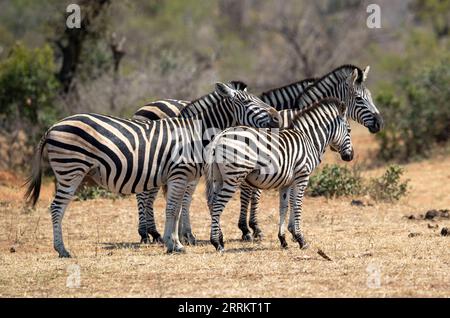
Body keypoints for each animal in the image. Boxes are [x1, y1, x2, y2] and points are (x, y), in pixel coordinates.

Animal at [25, 83, 282, 258]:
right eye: (248, 103)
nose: (278, 117)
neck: (197, 133)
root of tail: (52, 127)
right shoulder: (179, 174)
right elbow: (172, 210)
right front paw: (174, 244)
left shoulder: (183, 177)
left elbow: (177, 210)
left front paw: (174, 242)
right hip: (71, 170)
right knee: (57, 207)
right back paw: (62, 250)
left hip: (68, 171)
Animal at [206, 97, 354, 251]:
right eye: (349, 130)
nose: (350, 156)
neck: (309, 139)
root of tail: (220, 135)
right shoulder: (302, 177)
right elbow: (297, 205)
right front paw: (301, 239)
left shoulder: (287, 182)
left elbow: (284, 206)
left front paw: (284, 239)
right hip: (234, 177)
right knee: (218, 204)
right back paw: (217, 243)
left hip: (219, 178)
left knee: (212, 202)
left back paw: (220, 239)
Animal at [239, 64, 384, 241]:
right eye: (359, 99)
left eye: (370, 96)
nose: (379, 123)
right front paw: (293, 232)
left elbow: (291, 197)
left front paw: (292, 231)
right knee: (248, 191)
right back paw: (248, 229)